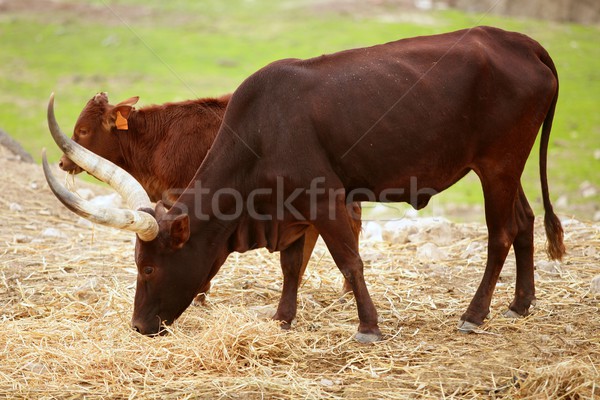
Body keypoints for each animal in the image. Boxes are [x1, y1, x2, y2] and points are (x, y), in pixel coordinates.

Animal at [44, 26, 564, 342]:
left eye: (149, 268)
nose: (138, 326)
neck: (259, 130)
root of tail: (518, 41)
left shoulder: (325, 199)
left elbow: (350, 261)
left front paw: (368, 326)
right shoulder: (292, 212)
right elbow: (292, 266)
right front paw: (282, 318)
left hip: (497, 165)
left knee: (501, 233)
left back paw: (475, 315)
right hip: (503, 167)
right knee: (524, 221)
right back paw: (521, 304)